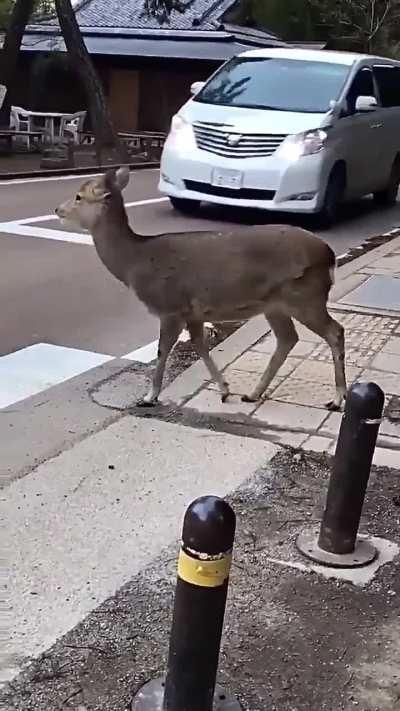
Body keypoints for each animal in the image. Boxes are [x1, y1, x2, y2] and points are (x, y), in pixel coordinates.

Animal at [56, 167, 347, 410]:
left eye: (79, 196)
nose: (58, 209)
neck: (134, 265)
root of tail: (330, 256)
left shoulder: (169, 306)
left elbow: (163, 350)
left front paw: (149, 397)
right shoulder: (192, 312)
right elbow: (199, 344)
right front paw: (225, 389)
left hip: (305, 296)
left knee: (335, 331)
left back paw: (337, 399)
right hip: (276, 304)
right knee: (288, 338)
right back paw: (252, 394)